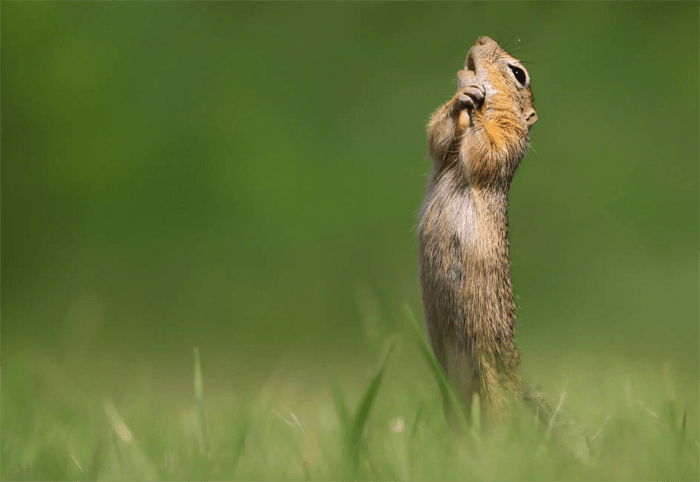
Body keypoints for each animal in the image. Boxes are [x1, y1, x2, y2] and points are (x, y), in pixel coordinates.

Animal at [418, 36, 540, 422]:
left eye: (519, 73)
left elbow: (486, 150)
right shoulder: (444, 150)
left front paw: (476, 99)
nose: (481, 39)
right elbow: (438, 136)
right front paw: (463, 96)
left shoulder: (507, 140)